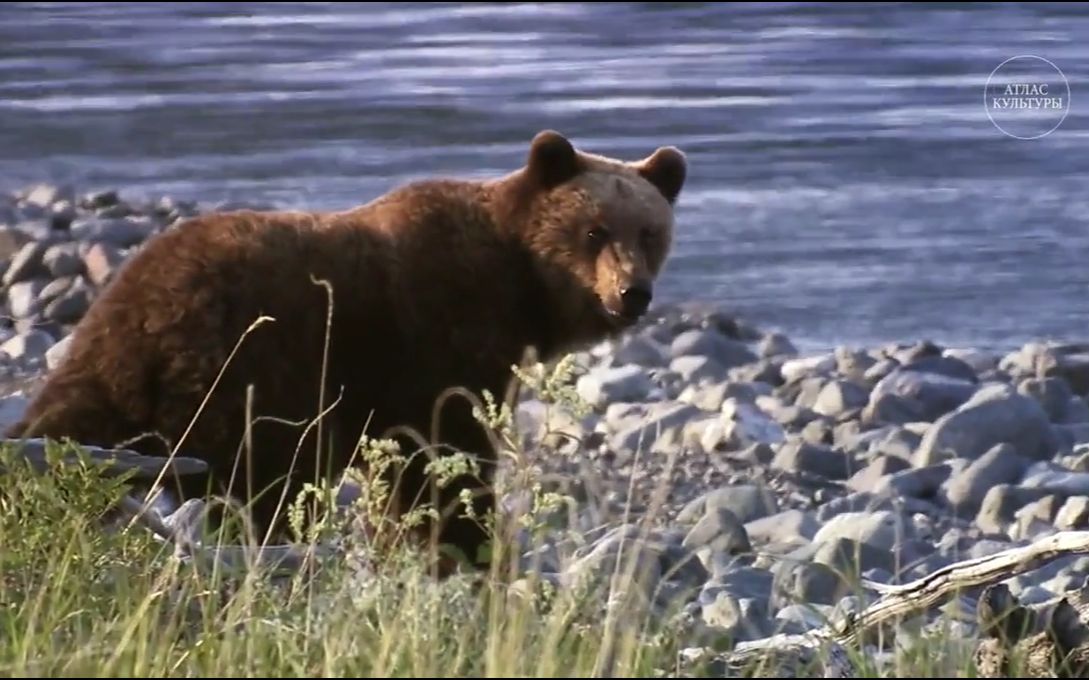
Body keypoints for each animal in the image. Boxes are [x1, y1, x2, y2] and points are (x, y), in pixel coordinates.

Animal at [6, 128, 688, 575]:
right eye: (594, 230)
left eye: (650, 232)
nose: (631, 293)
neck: (519, 286)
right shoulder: (441, 336)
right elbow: (443, 457)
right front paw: (473, 546)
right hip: (249, 367)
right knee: (265, 481)